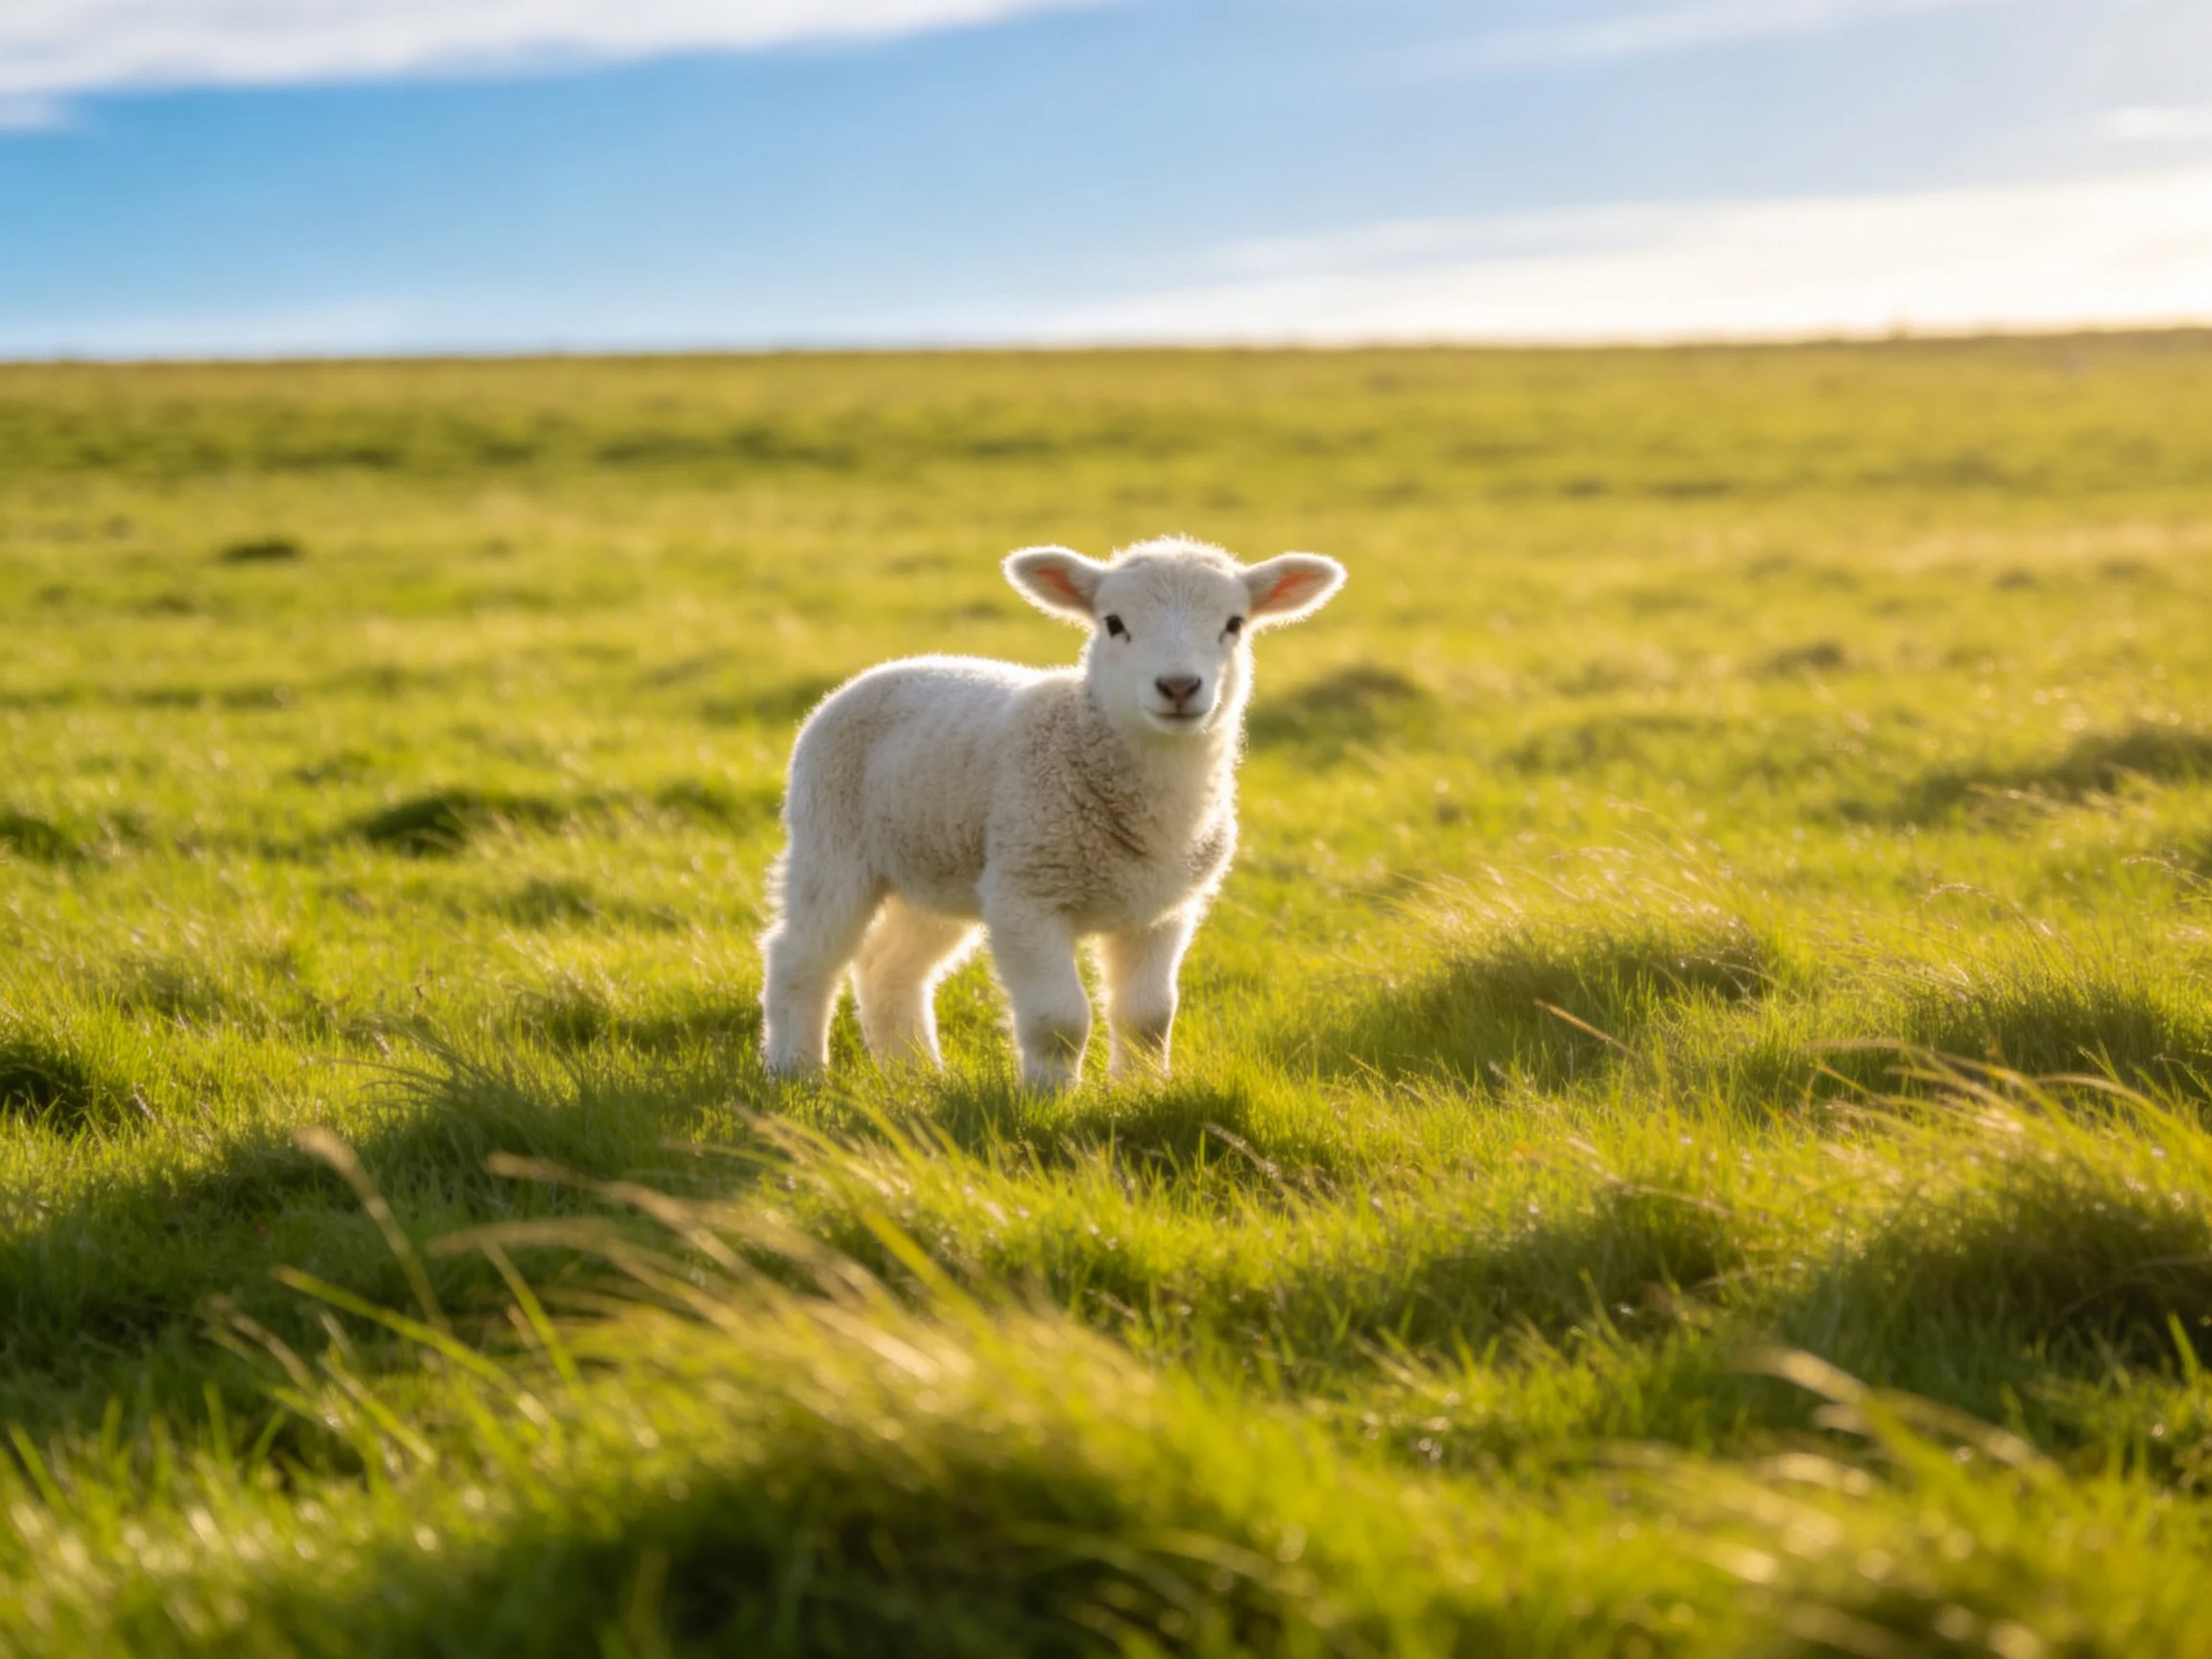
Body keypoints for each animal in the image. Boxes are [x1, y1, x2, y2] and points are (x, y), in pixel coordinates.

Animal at [759, 534, 1345, 1091]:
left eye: (1234, 624)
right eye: (1113, 623)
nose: (1179, 686)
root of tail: (886, 668)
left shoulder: (1163, 909)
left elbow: (1149, 1017)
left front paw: (1141, 1090)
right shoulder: (1026, 895)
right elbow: (1058, 1019)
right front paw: (1048, 1098)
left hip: (935, 869)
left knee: (889, 968)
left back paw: (916, 1076)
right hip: (831, 841)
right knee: (800, 957)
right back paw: (797, 1070)